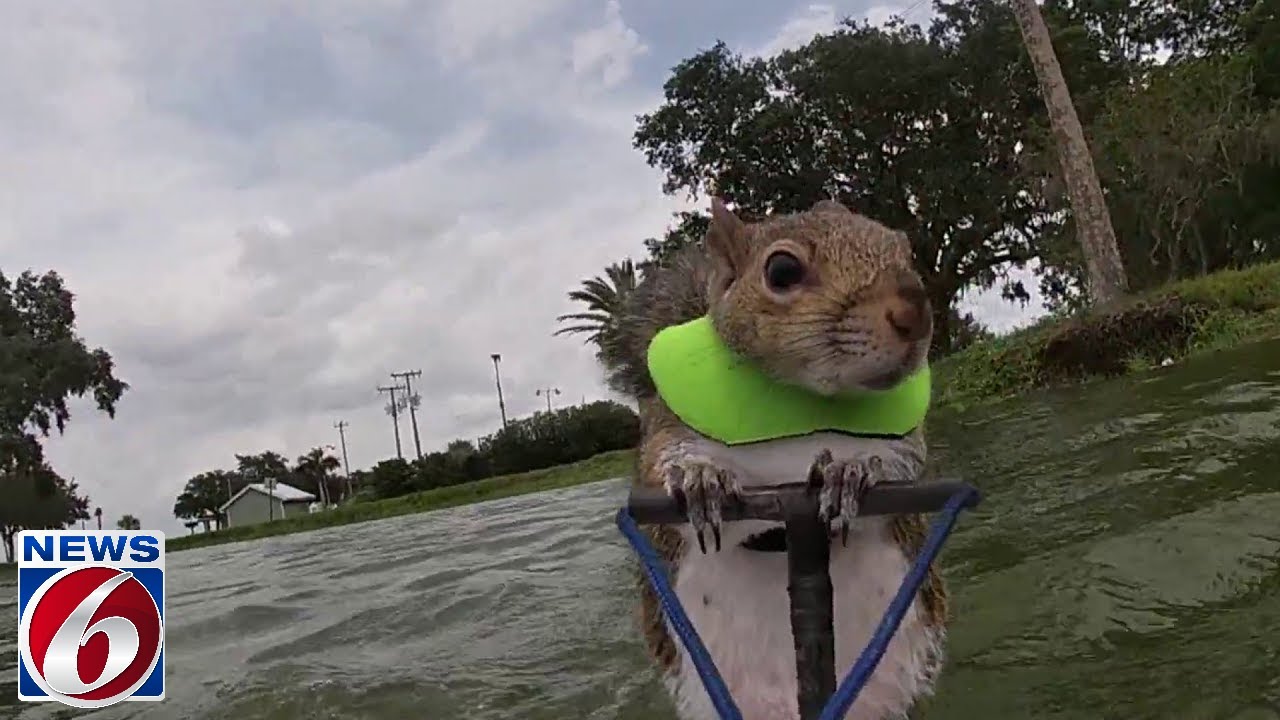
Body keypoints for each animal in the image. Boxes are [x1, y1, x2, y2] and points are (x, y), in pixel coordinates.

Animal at [602, 197, 947, 720]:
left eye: (904, 250)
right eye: (782, 270)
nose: (915, 312)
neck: (795, 406)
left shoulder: (904, 441)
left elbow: (900, 462)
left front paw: (851, 471)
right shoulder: (665, 431)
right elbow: (670, 471)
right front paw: (702, 479)